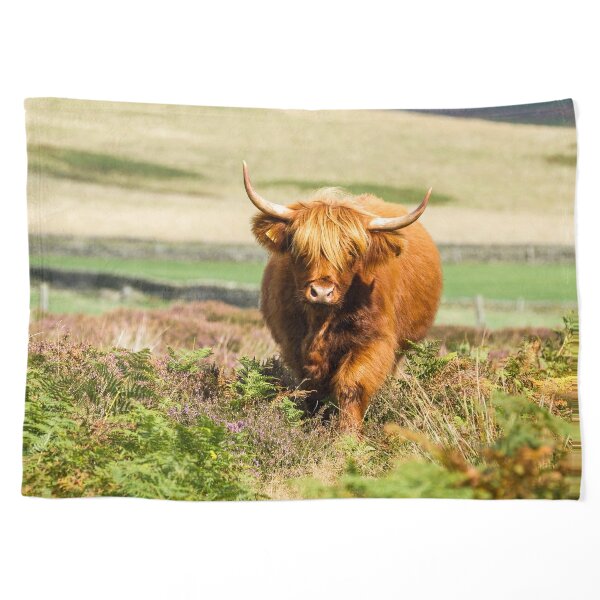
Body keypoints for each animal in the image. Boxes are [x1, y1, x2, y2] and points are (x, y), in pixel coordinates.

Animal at [241, 162, 442, 428]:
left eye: (352, 252)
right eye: (301, 249)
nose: (321, 292)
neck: (321, 321)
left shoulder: (374, 341)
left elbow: (352, 386)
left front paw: (348, 434)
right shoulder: (292, 343)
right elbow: (312, 389)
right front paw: (314, 424)